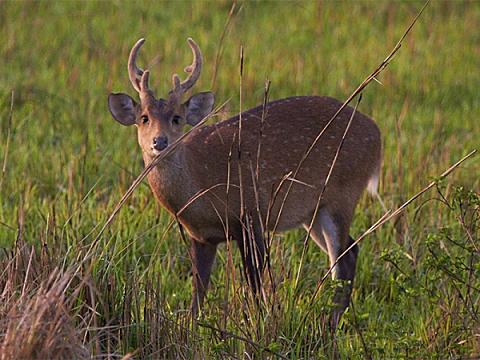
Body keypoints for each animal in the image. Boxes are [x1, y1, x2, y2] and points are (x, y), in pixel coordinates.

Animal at [108, 38, 382, 324]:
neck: (202, 183)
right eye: (144, 118)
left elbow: (254, 281)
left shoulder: (251, 213)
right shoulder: (201, 236)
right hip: (313, 212)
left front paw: (259, 321)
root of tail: (378, 136)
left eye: (176, 118)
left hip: (343, 194)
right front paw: (193, 325)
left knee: (343, 257)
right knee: (349, 251)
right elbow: (198, 289)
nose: (159, 141)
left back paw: (330, 321)